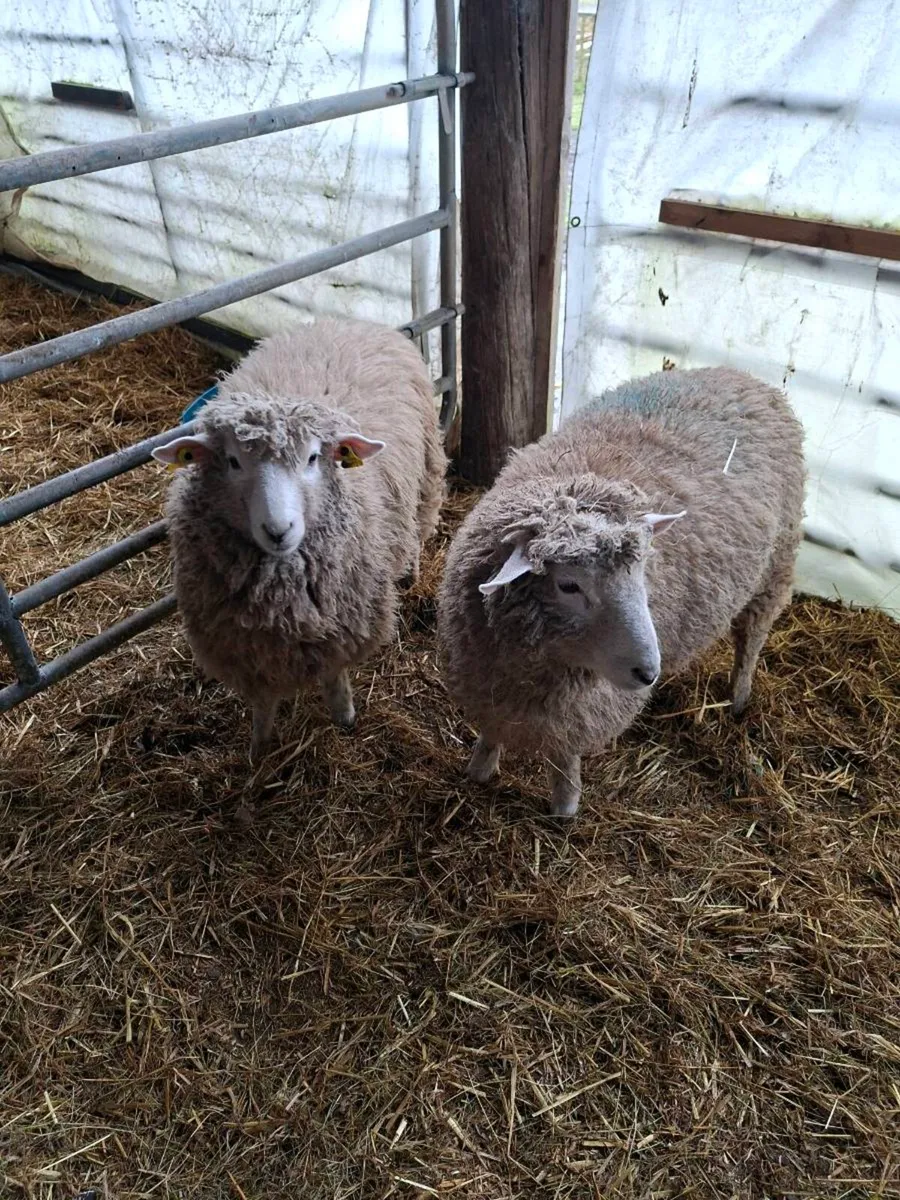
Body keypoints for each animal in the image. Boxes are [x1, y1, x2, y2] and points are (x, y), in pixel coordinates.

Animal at [152, 317, 447, 760]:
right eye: (233, 461)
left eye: (312, 458)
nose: (279, 530)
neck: (280, 597)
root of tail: (342, 322)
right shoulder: (246, 647)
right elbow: (262, 702)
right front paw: (259, 748)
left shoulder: (343, 624)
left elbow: (334, 675)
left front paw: (345, 718)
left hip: (425, 473)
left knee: (417, 528)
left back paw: (411, 572)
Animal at [437, 367, 805, 817]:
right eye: (569, 585)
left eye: (642, 572)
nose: (649, 673)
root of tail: (742, 376)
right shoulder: (487, 684)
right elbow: (492, 731)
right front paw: (479, 770)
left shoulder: (582, 711)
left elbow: (564, 756)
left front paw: (564, 808)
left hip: (775, 567)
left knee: (751, 638)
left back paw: (738, 697)